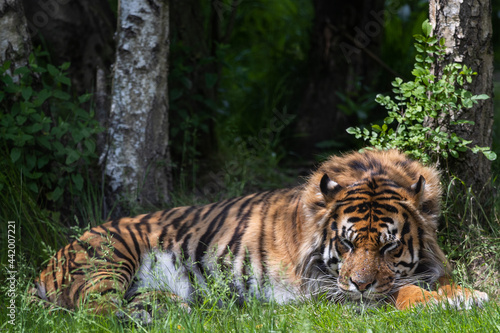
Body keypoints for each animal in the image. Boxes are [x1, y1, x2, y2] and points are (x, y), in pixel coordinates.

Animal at [33, 148, 486, 316]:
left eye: (391, 248)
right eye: (346, 243)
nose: (360, 284)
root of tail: (48, 262)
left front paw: (465, 292)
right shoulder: (329, 290)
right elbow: (400, 292)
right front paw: (463, 299)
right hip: (110, 257)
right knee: (95, 312)